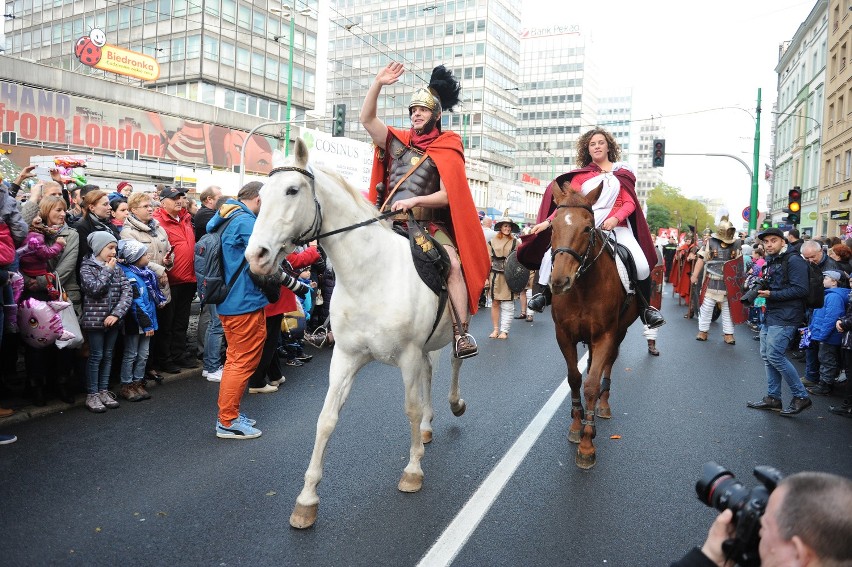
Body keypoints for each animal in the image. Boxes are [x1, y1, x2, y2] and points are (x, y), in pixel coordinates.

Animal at [245, 140, 466, 532]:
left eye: (292, 190)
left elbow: (409, 409)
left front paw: (413, 470)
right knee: (431, 375)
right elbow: (326, 419)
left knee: (454, 363)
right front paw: (307, 500)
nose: (256, 256)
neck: (369, 274)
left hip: (453, 326)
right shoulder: (346, 357)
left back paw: (454, 402)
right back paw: (428, 426)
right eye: (262, 194)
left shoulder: (408, 355)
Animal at [552, 182, 640, 470]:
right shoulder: (564, 335)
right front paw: (576, 425)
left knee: (608, 365)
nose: (559, 281)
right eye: (552, 225)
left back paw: (603, 404)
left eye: (587, 228)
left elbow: (591, 384)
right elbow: (575, 378)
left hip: (619, 332)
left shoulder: (605, 335)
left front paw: (587, 444)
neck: (582, 289)